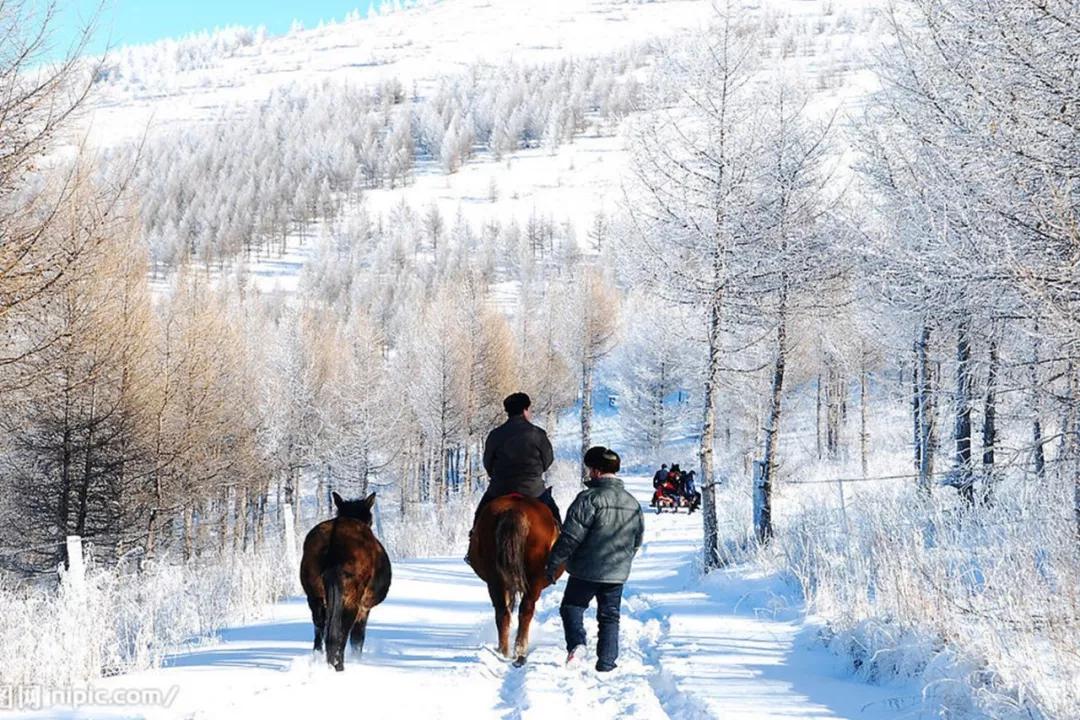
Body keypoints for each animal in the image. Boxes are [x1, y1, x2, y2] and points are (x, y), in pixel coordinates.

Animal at [300, 492, 393, 673]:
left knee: (320, 631)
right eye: (370, 519)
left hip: (314, 594)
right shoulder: (365, 608)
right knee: (340, 634)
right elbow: (357, 639)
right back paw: (339, 666)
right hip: (351, 598)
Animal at [466, 496, 561, 669]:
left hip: (495, 579)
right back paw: (519, 651)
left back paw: (503, 650)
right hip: (534, 579)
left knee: (502, 612)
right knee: (526, 610)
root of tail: (514, 509)